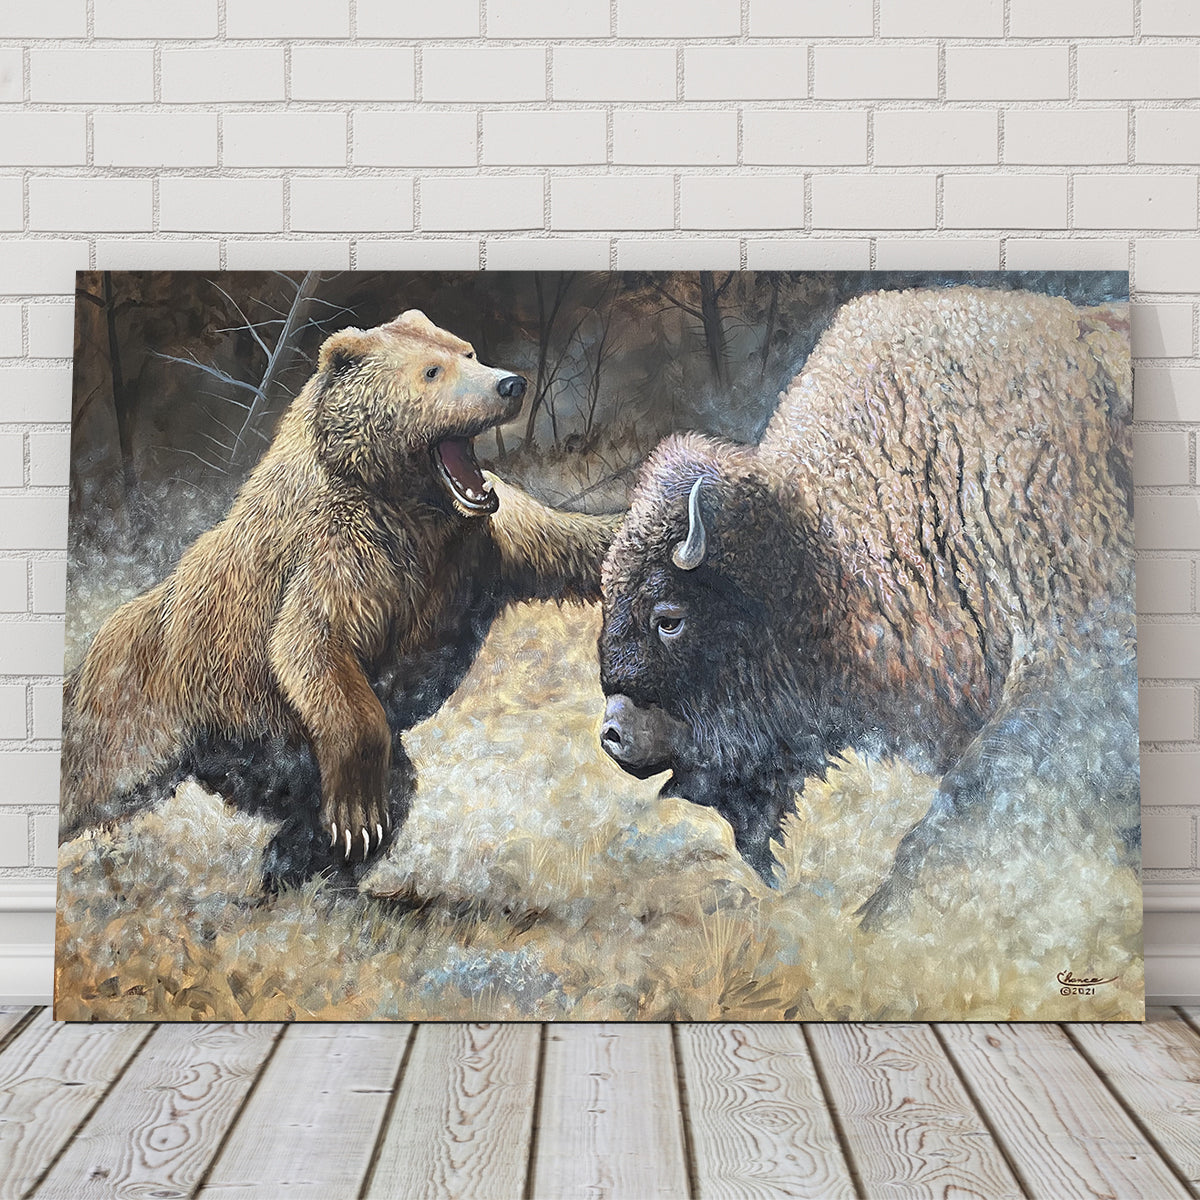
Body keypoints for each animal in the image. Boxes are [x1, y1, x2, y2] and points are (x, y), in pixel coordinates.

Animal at [60, 309, 621, 888]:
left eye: (467, 352)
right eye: (432, 371)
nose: (510, 384)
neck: (413, 505)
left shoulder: (483, 536)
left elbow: (575, 542)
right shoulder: (343, 547)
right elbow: (312, 639)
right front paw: (356, 816)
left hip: (261, 752)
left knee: (377, 787)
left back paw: (295, 865)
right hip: (158, 705)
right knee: (96, 776)